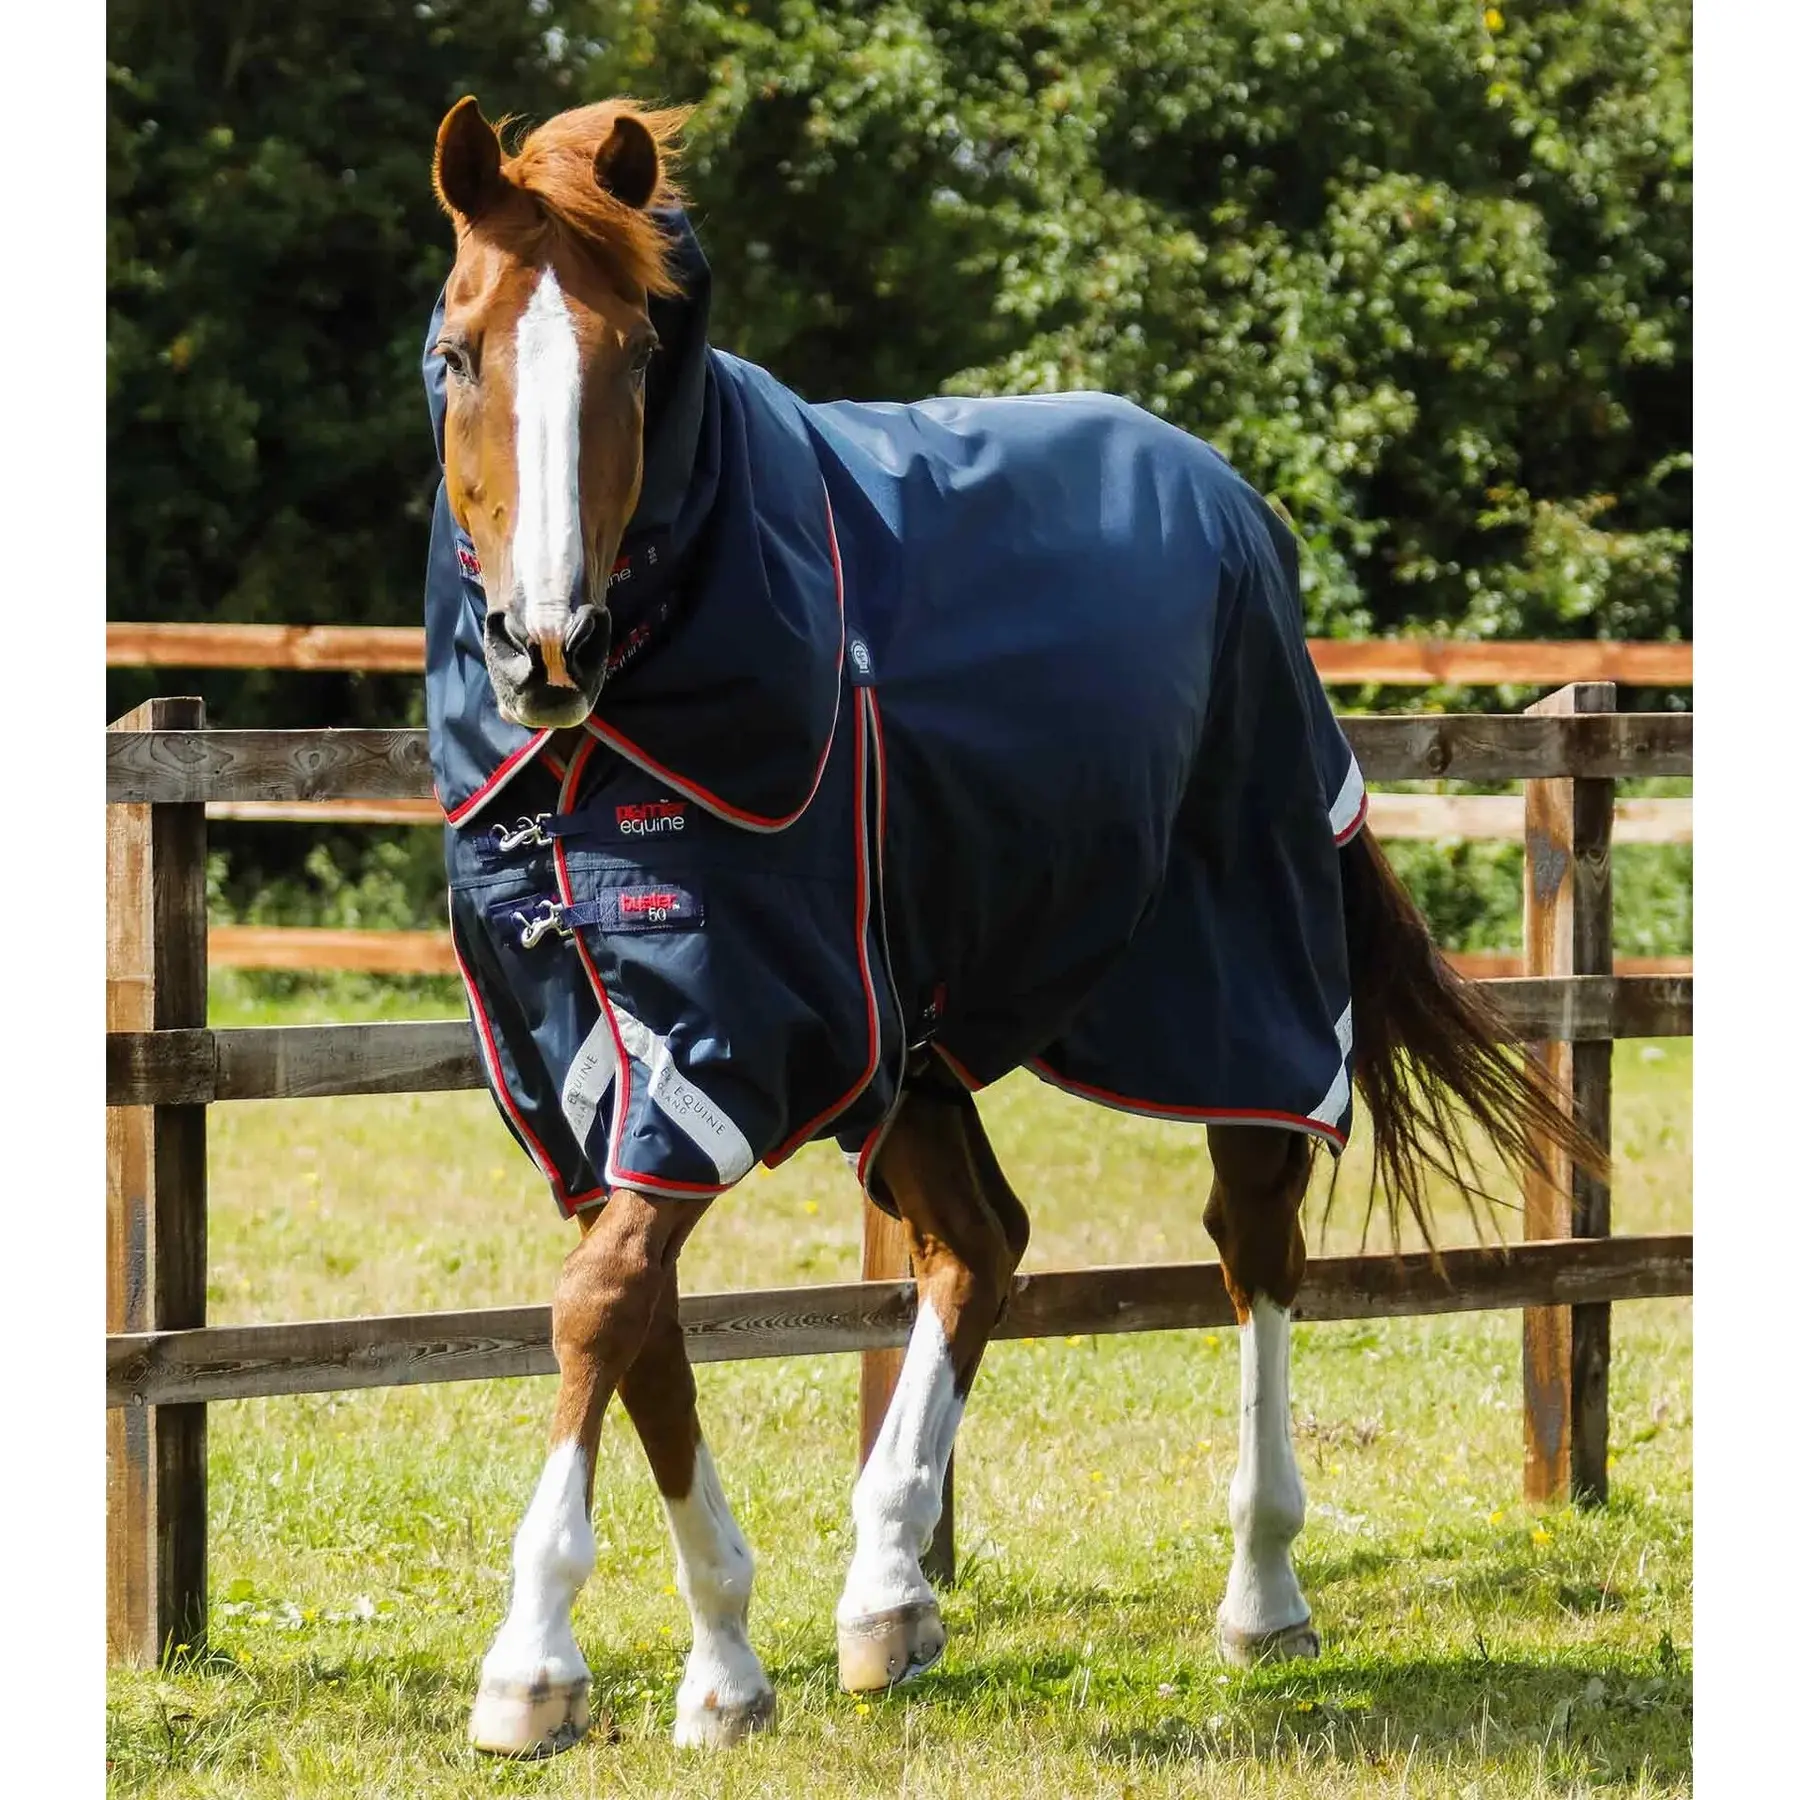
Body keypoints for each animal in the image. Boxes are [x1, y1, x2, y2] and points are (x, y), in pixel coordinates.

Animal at [420, 97, 1599, 1757]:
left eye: (642, 351)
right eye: (458, 352)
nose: (546, 645)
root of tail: (1234, 504)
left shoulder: (741, 1037)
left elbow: (601, 1307)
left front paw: (533, 1662)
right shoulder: (585, 1059)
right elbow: (643, 1318)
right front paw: (726, 1662)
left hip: (1229, 976)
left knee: (1253, 1243)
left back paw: (1261, 1593)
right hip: (918, 1037)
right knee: (982, 1243)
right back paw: (887, 1593)